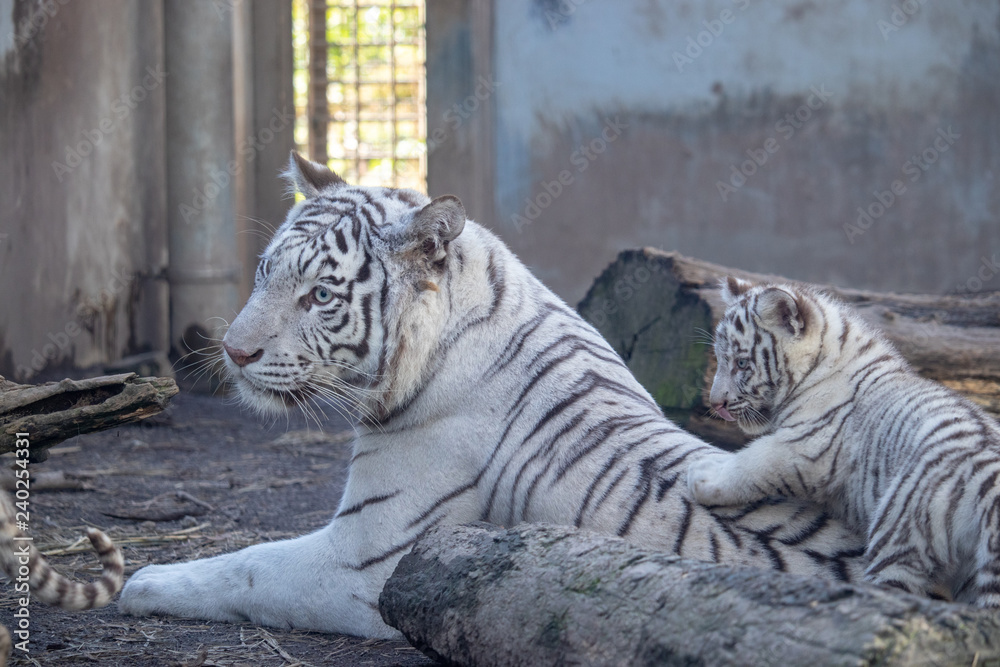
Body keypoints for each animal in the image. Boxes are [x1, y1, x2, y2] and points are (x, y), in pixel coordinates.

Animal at [117, 152, 866, 638]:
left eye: (320, 295)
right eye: (265, 272)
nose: (234, 351)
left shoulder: (368, 561)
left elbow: (245, 567)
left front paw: (143, 581)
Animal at [687, 276, 1000, 606]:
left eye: (742, 363)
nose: (716, 403)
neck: (817, 370)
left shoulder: (808, 446)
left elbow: (754, 461)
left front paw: (704, 475)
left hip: (902, 529)